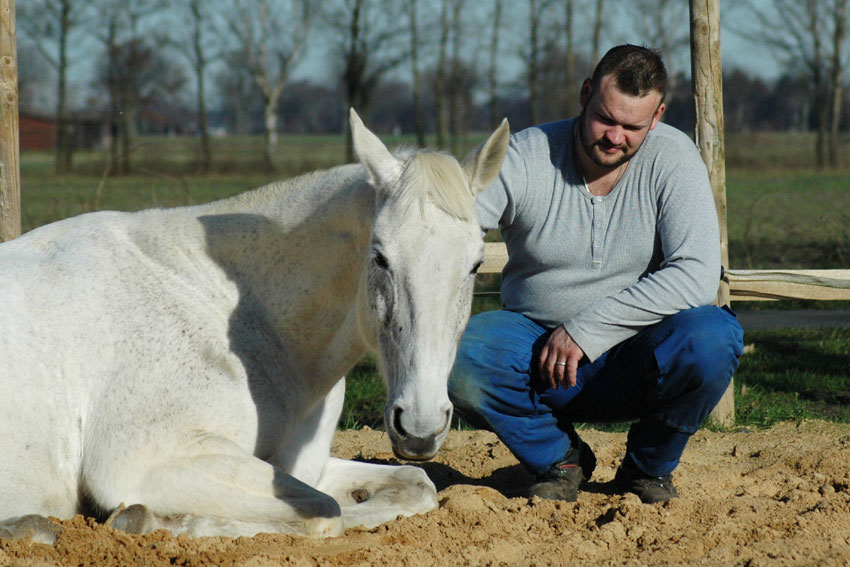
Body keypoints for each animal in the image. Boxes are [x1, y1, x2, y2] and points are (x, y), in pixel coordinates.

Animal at [0, 110, 506, 540]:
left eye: (476, 264)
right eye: (379, 256)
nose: (420, 427)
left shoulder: (302, 465)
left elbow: (415, 485)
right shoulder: (143, 462)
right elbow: (325, 513)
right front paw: (153, 522)